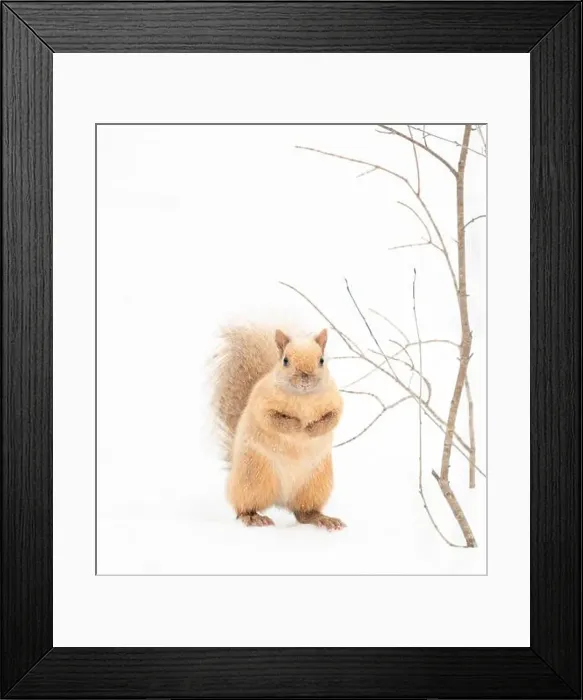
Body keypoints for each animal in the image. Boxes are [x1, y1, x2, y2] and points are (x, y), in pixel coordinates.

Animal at [211, 325, 345, 531]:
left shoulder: (334, 400)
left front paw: (312, 430)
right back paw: (253, 517)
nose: (305, 377)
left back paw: (322, 519)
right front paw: (297, 426)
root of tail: (282, 500)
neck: (303, 397)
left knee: (303, 513)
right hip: (252, 480)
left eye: (321, 360)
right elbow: (273, 419)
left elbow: (333, 418)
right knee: (243, 507)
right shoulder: (262, 402)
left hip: (315, 485)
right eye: (285, 361)